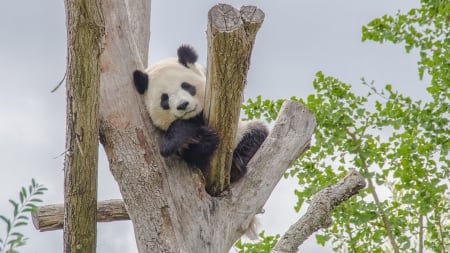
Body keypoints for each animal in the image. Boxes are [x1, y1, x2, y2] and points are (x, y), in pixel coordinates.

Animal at [134, 45, 268, 183]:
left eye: (186, 86)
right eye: (164, 98)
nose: (183, 105)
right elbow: (185, 151)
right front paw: (204, 139)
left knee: (256, 133)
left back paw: (235, 166)